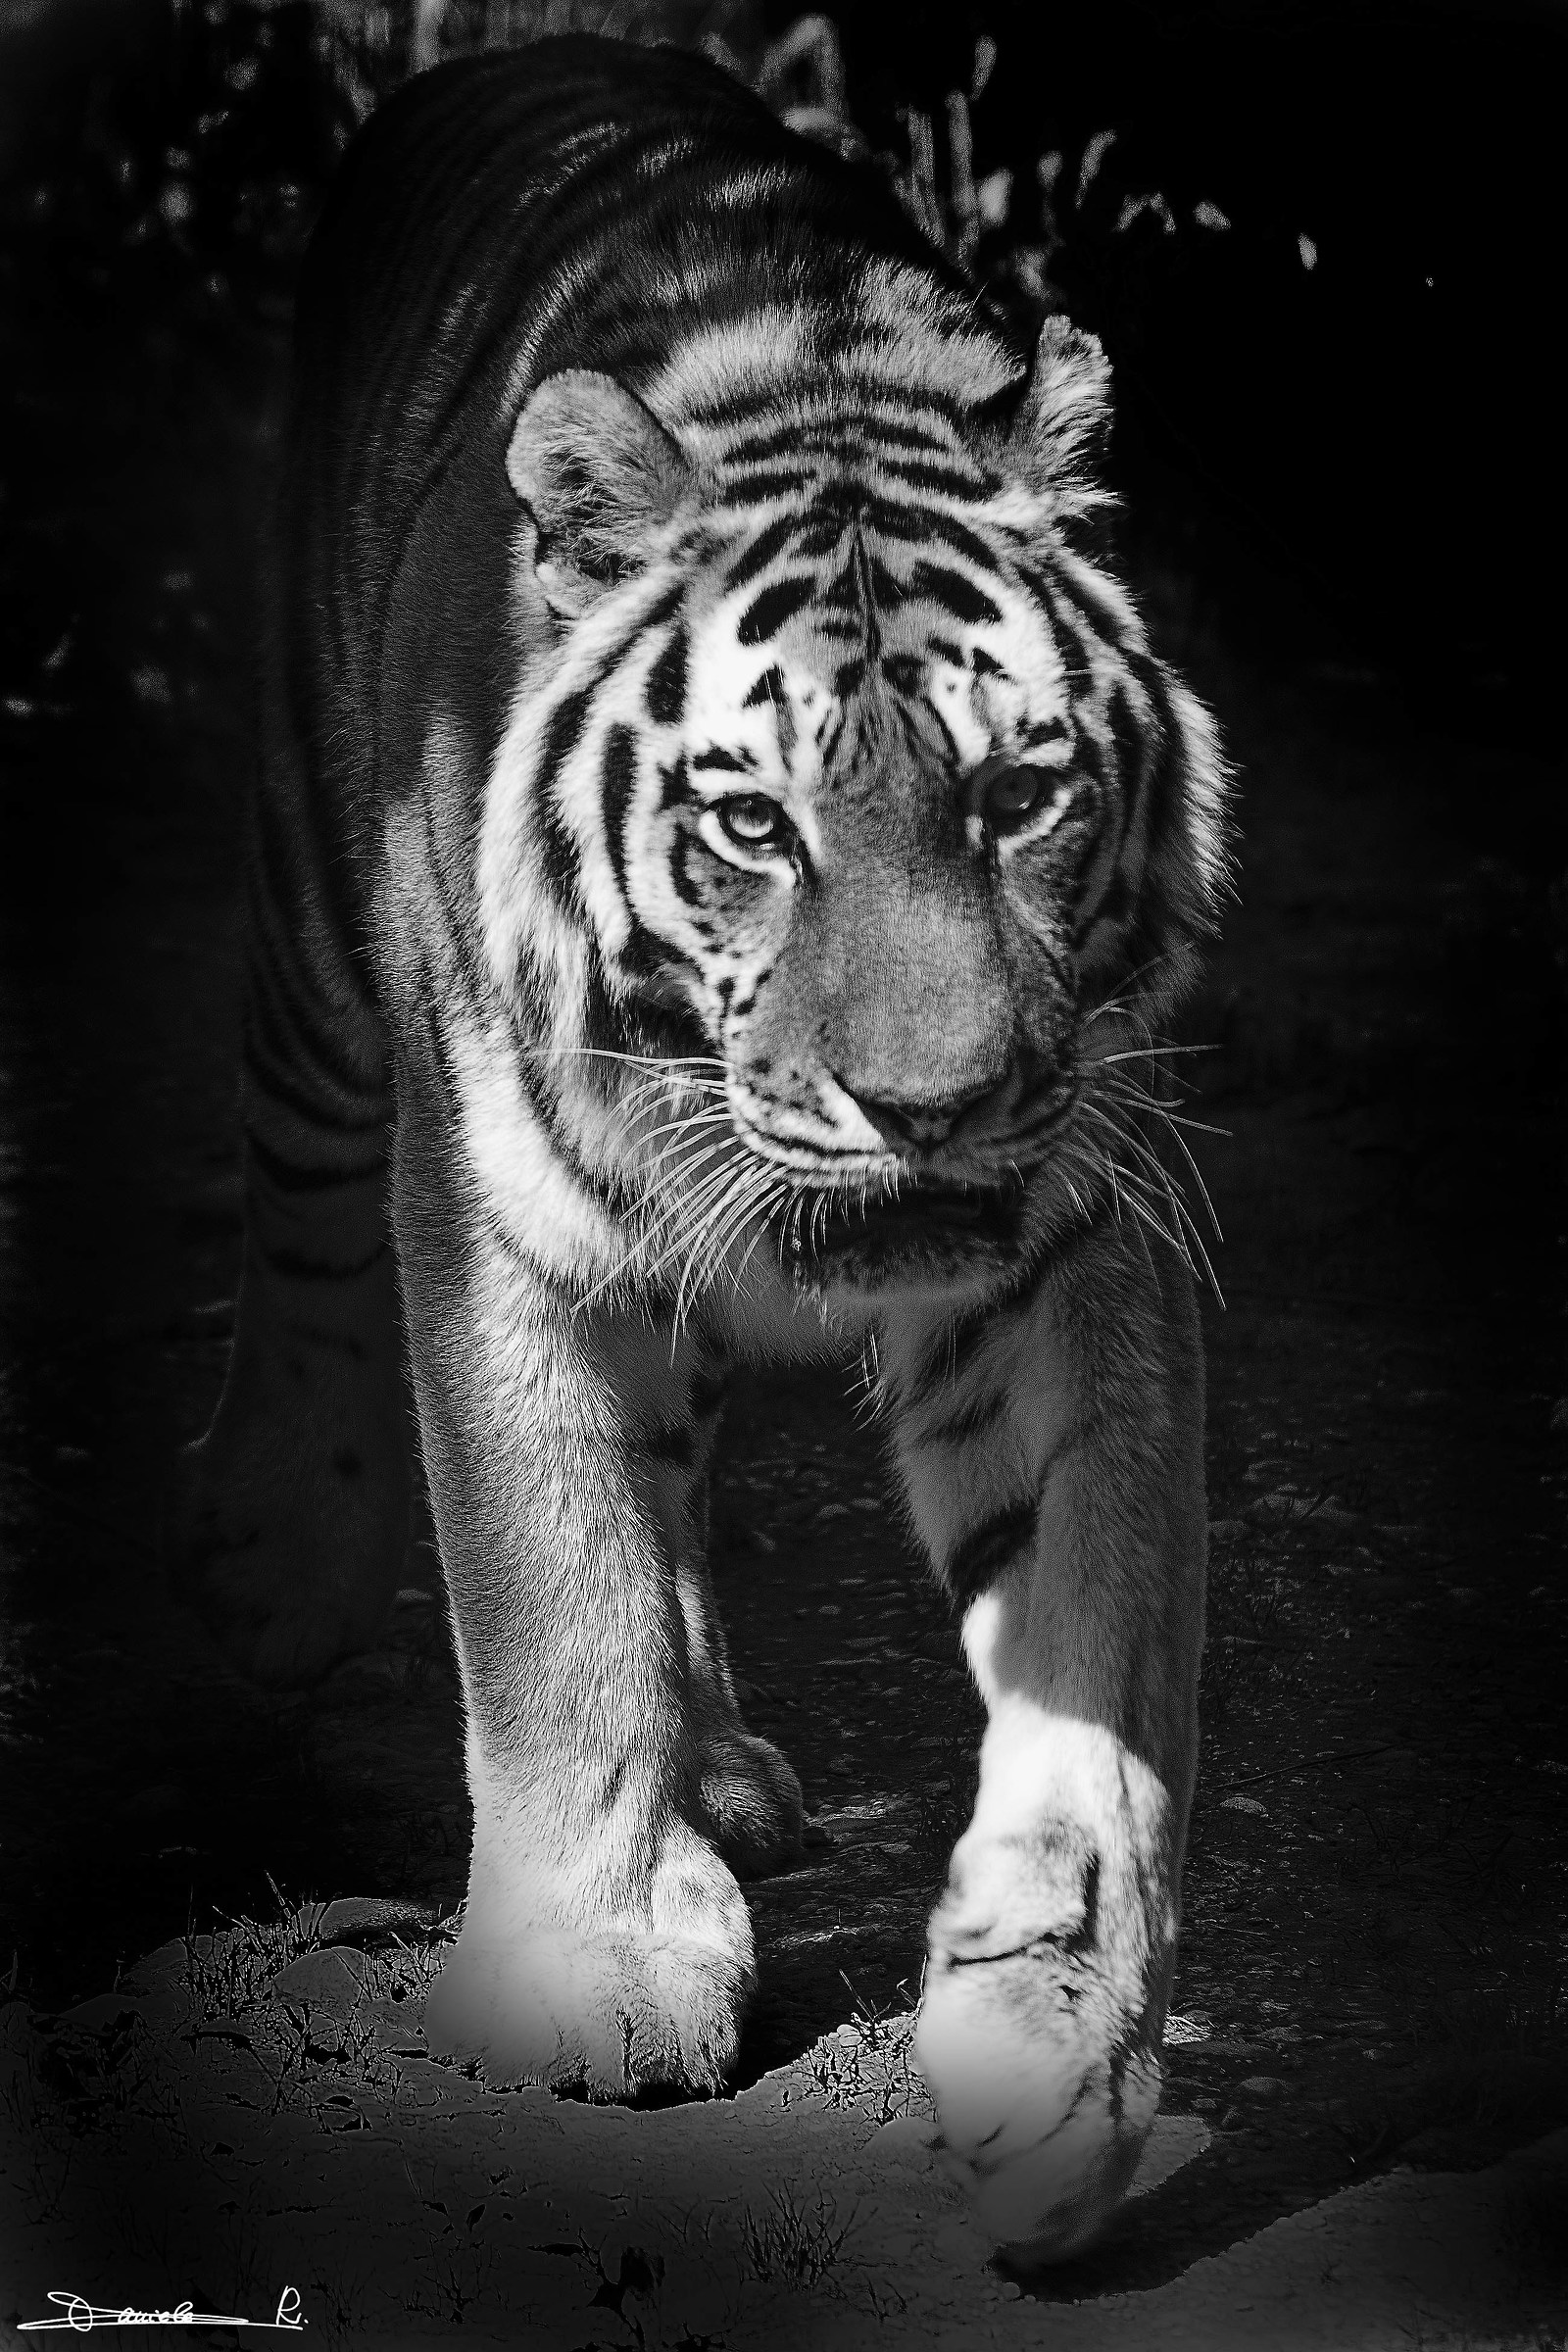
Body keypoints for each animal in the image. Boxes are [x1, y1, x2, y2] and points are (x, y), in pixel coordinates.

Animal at [173, 34, 1230, 2262]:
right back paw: (266, 1560)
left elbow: (1096, 1643)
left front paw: (1059, 2035)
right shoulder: (497, 1222)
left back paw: (728, 1761)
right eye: (754, 825)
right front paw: (595, 1960)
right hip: (309, 913)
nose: (929, 1107)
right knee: (293, 1194)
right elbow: (555, 1588)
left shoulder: (1072, 1234)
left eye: (1018, 796)